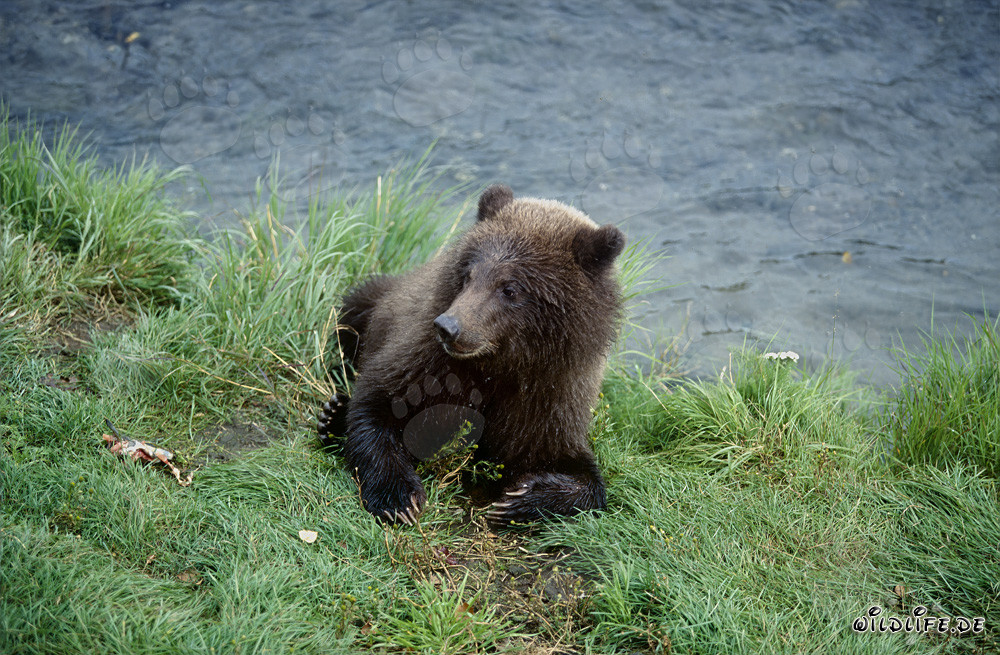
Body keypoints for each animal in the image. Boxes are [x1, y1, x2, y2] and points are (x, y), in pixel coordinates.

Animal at [318, 184, 625, 526]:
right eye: (468, 275)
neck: (502, 363)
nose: (448, 327)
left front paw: (520, 498)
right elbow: (377, 407)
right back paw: (332, 414)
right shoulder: (426, 359)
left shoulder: (552, 395)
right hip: (373, 302)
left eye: (510, 288)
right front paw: (399, 499)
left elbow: (579, 473)